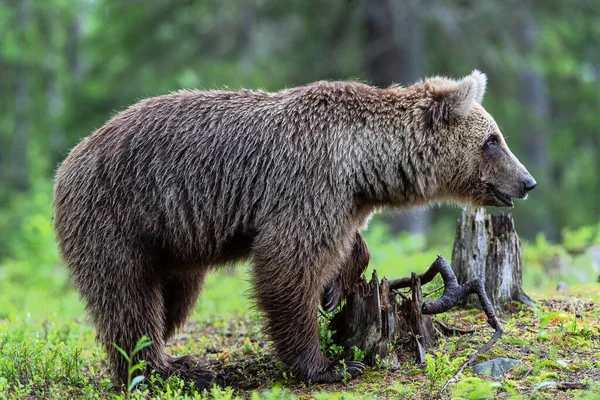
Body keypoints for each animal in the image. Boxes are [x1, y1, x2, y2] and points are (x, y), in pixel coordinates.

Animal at [54, 70, 536, 390]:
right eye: (493, 140)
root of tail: (71, 159)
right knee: (129, 299)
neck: (364, 166)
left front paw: (336, 287)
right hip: (119, 217)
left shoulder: (343, 201)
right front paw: (329, 365)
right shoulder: (308, 182)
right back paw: (167, 370)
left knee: (172, 300)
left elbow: (346, 247)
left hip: (173, 242)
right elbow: (287, 266)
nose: (527, 181)